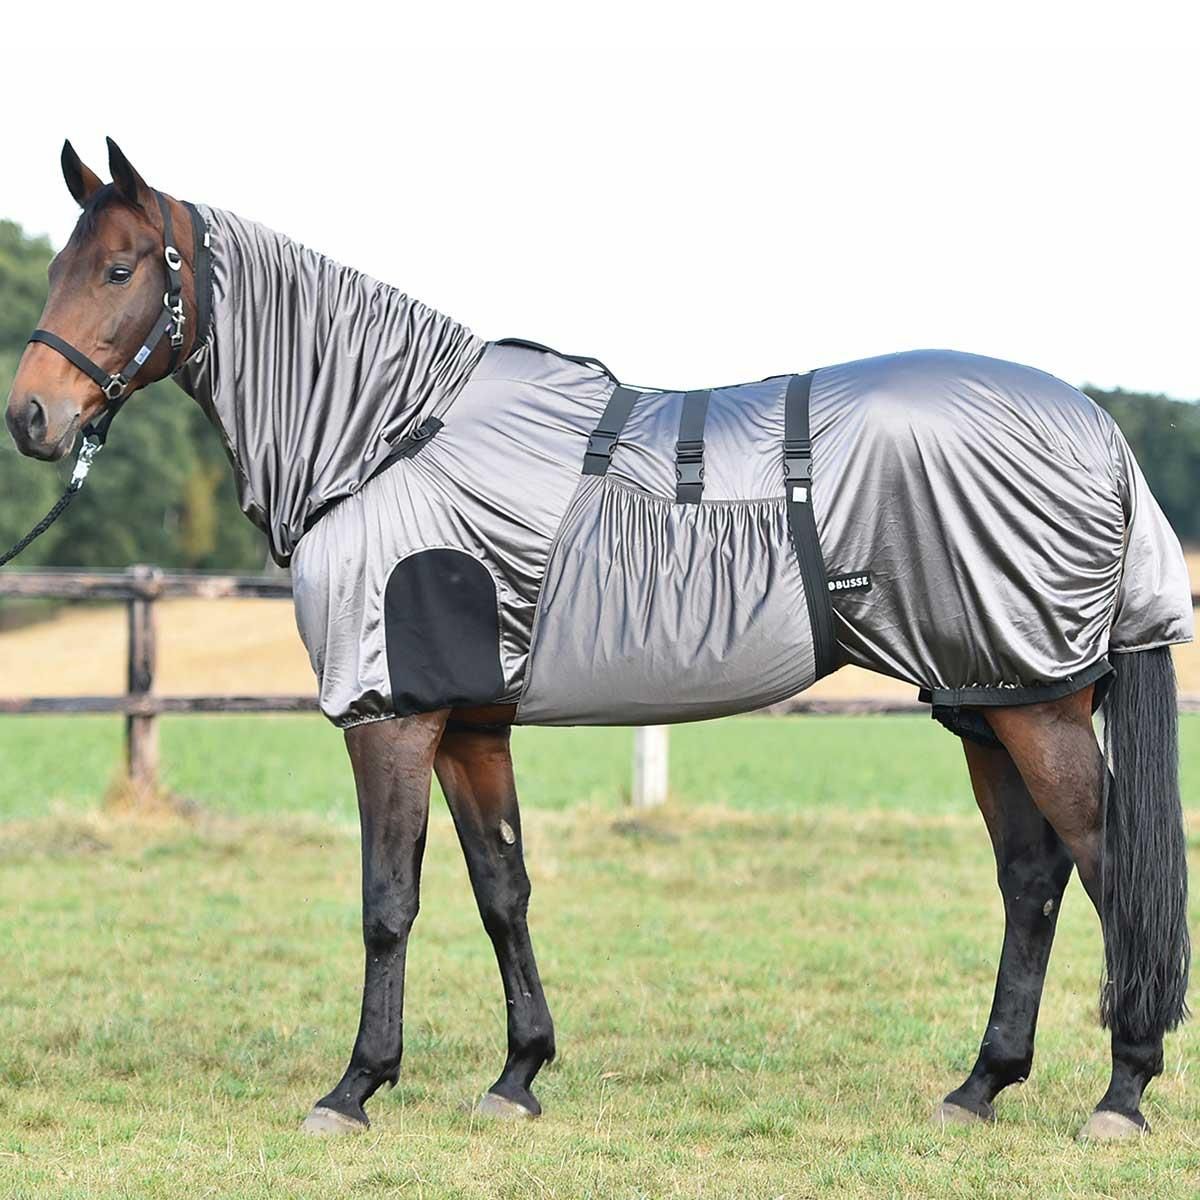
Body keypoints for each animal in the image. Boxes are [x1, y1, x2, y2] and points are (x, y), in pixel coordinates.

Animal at [5, 138, 1192, 1143]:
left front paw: (354, 1088)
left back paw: (1122, 1094)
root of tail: (1098, 428)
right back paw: (981, 1084)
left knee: (1108, 869)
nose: (31, 419)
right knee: (1032, 877)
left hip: (1036, 707)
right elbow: (502, 891)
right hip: (987, 699)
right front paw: (518, 1074)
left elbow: (389, 903)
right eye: (59, 264)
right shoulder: (471, 726)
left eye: (118, 269)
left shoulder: (390, 716)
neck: (389, 437)